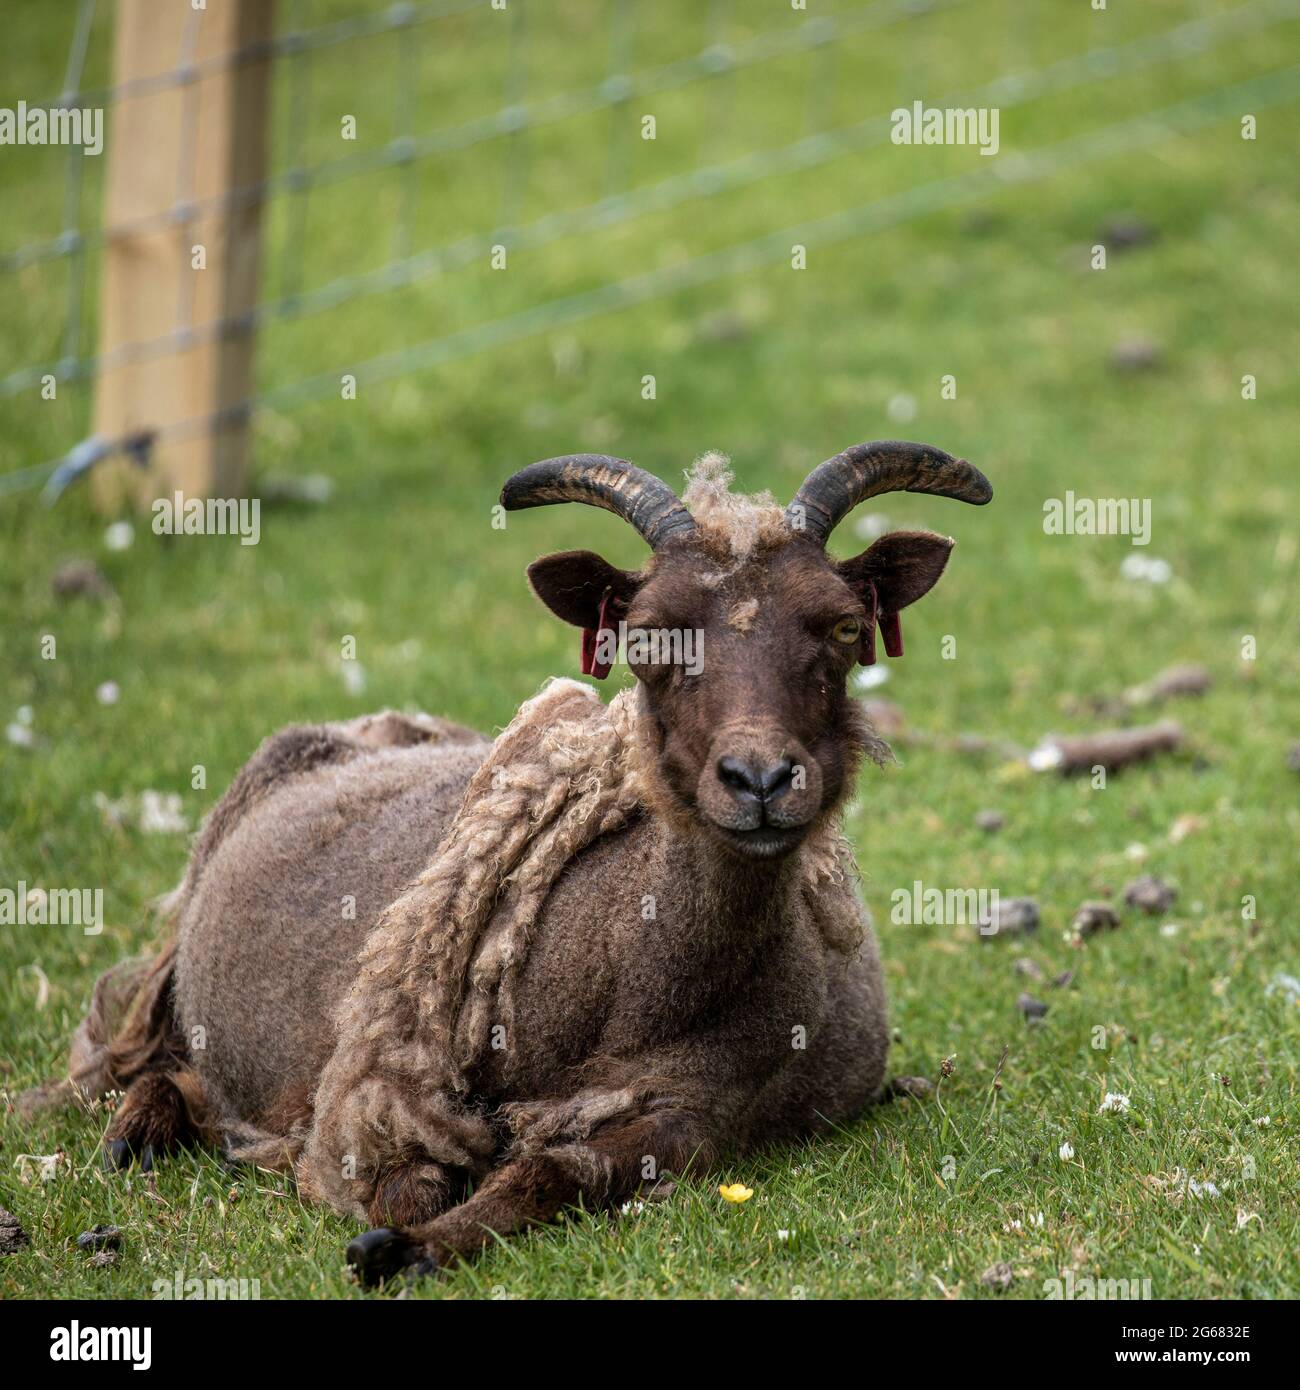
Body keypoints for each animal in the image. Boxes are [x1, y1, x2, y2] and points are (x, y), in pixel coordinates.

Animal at [25, 439, 989, 1284]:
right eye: (648, 640)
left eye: (844, 627)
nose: (759, 780)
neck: (636, 978)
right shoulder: (387, 1088)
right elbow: (402, 1175)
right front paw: (392, 1210)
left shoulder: (700, 1113)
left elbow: (556, 1171)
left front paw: (418, 1247)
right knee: (156, 1068)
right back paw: (138, 1135)